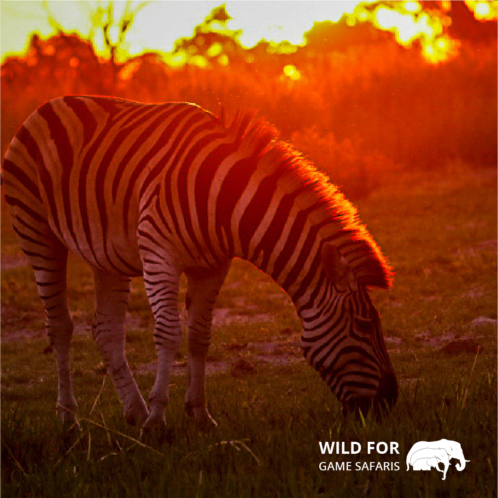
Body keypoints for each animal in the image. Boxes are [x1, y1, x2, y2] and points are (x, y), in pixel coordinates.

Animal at [0, 95, 396, 430]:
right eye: (364, 325)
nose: (390, 402)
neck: (227, 202)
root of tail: (49, 103)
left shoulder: (214, 266)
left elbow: (199, 335)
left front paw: (199, 415)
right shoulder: (159, 254)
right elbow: (168, 333)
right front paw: (158, 422)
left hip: (106, 255)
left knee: (106, 330)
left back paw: (133, 411)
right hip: (37, 232)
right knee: (59, 326)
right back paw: (70, 420)